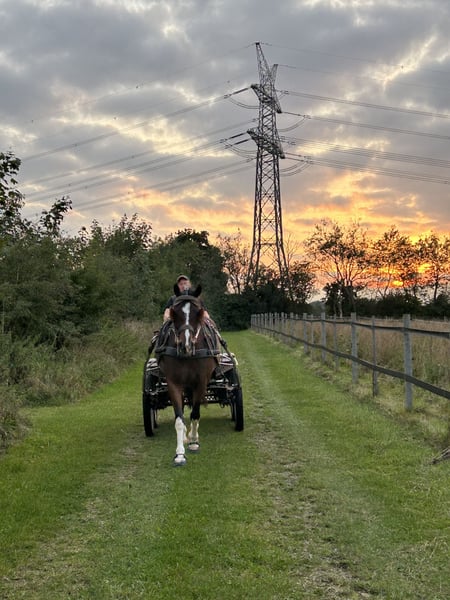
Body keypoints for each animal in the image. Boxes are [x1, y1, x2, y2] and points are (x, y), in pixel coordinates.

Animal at [157, 285, 220, 466]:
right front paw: (179, 453)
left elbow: (195, 414)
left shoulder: (200, 382)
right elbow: (179, 418)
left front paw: (193, 441)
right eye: (174, 312)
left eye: (198, 312)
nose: (186, 345)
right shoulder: (173, 383)